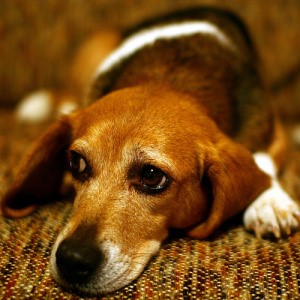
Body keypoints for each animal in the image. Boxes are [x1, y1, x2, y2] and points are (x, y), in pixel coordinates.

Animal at [0, 7, 300, 296]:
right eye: (76, 162)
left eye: (152, 176)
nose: (72, 260)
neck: (168, 78)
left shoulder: (274, 131)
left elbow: (261, 161)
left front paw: (270, 204)